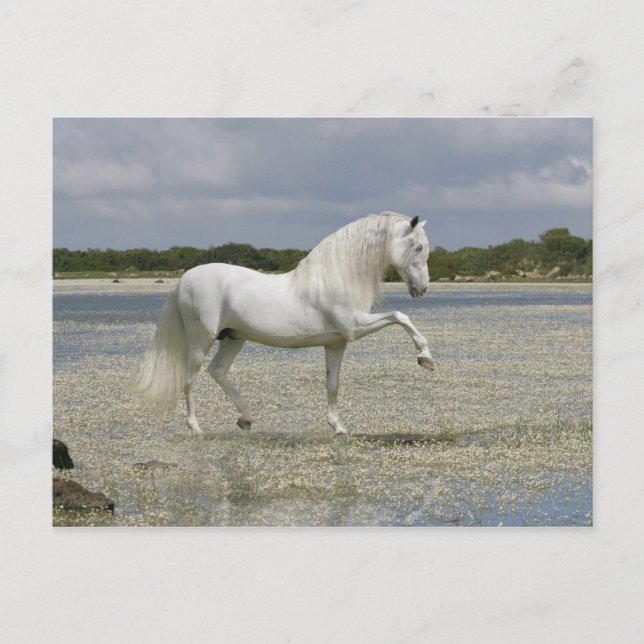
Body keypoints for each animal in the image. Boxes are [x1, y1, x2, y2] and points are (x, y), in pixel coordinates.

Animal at [129, 211, 435, 435]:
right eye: (418, 246)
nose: (422, 289)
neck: (336, 277)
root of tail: (183, 280)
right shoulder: (355, 327)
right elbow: (400, 317)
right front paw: (425, 357)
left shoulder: (337, 343)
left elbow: (332, 385)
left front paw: (338, 427)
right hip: (200, 340)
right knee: (190, 378)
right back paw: (196, 427)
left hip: (234, 338)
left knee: (218, 371)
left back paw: (246, 418)